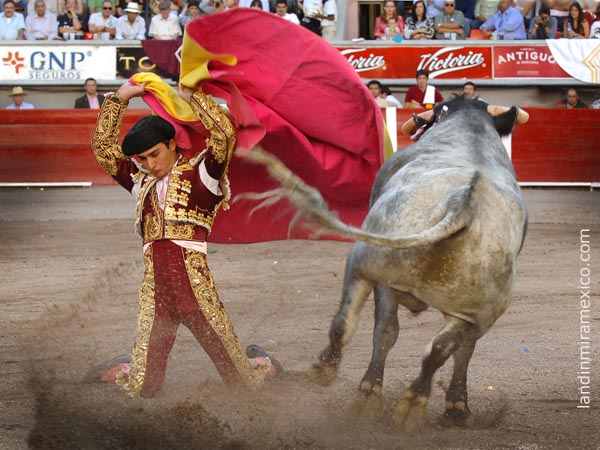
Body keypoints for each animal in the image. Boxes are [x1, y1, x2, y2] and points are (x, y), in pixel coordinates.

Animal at [242, 96, 529, 432]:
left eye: (439, 110)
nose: (417, 121)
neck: (471, 128)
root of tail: (463, 205)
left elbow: (382, 331)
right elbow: (460, 351)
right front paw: (457, 407)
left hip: (370, 266)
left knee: (357, 327)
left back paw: (344, 382)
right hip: (480, 312)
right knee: (440, 349)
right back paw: (412, 404)